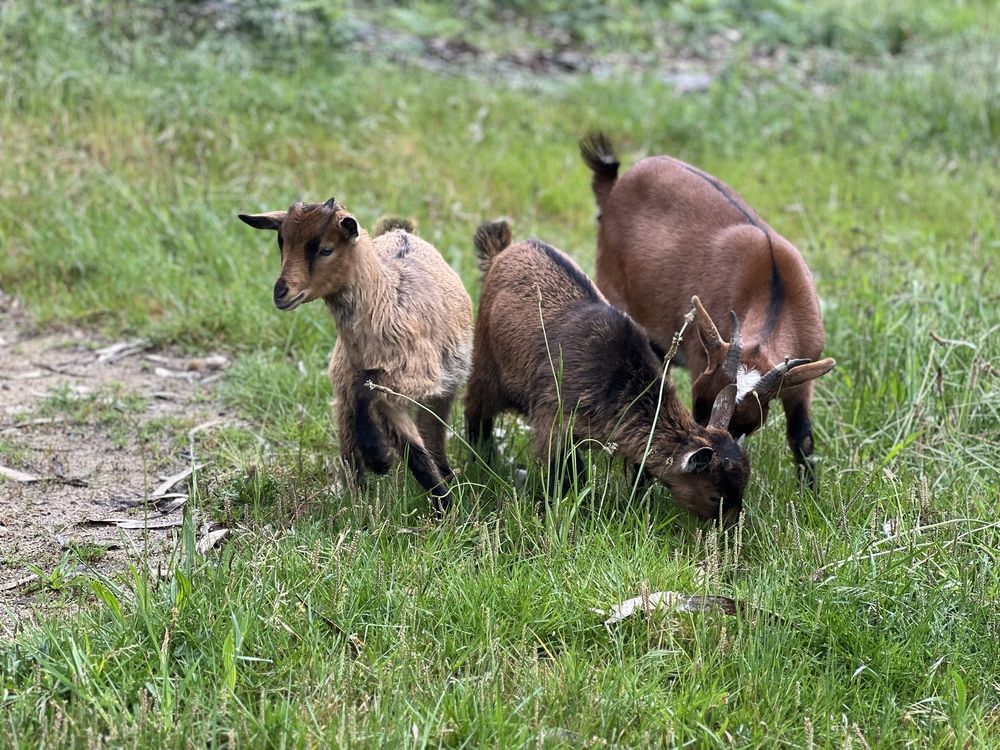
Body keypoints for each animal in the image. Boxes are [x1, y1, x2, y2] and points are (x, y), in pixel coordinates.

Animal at [238, 198, 472, 516]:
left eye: (326, 249)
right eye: (281, 242)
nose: (281, 293)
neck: (387, 306)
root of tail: (400, 231)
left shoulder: (415, 375)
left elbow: (370, 395)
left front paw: (382, 459)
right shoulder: (368, 387)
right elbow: (410, 450)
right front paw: (382, 461)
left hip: (442, 388)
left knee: (431, 431)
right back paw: (360, 500)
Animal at [464, 217, 748, 524]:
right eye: (715, 496)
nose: (730, 530)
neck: (616, 380)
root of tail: (503, 251)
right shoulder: (552, 417)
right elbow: (568, 475)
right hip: (485, 365)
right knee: (475, 411)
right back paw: (481, 461)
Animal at [576, 134, 840, 488]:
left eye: (746, 420)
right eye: (699, 403)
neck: (775, 292)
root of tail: (617, 184)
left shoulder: (802, 378)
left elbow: (802, 437)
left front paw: (810, 493)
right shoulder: (700, 355)